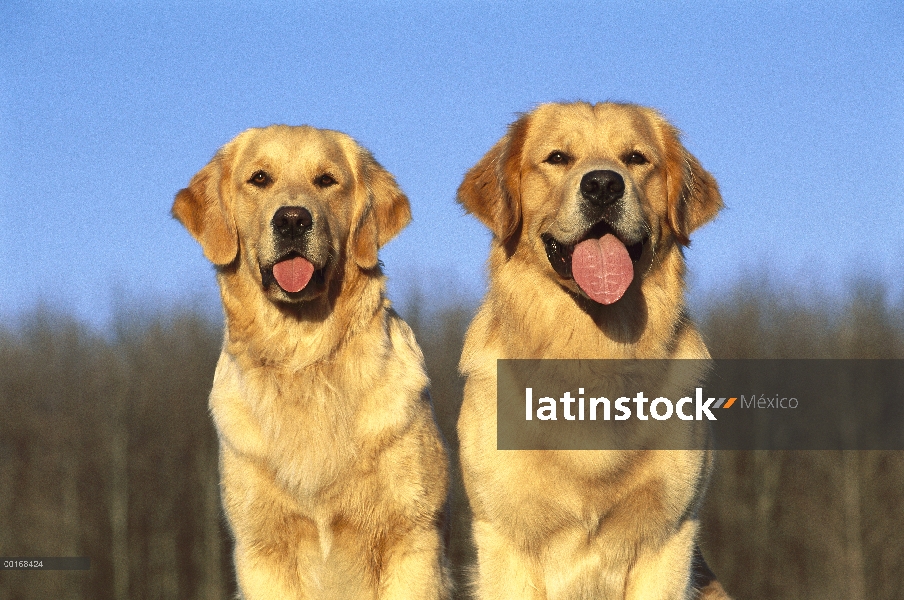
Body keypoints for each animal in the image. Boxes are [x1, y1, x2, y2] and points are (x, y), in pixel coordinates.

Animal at [171, 124, 450, 596]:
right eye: (259, 178)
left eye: (326, 180)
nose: (292, 219)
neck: (305, 359)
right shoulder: (262, 545)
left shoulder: (411, 535)